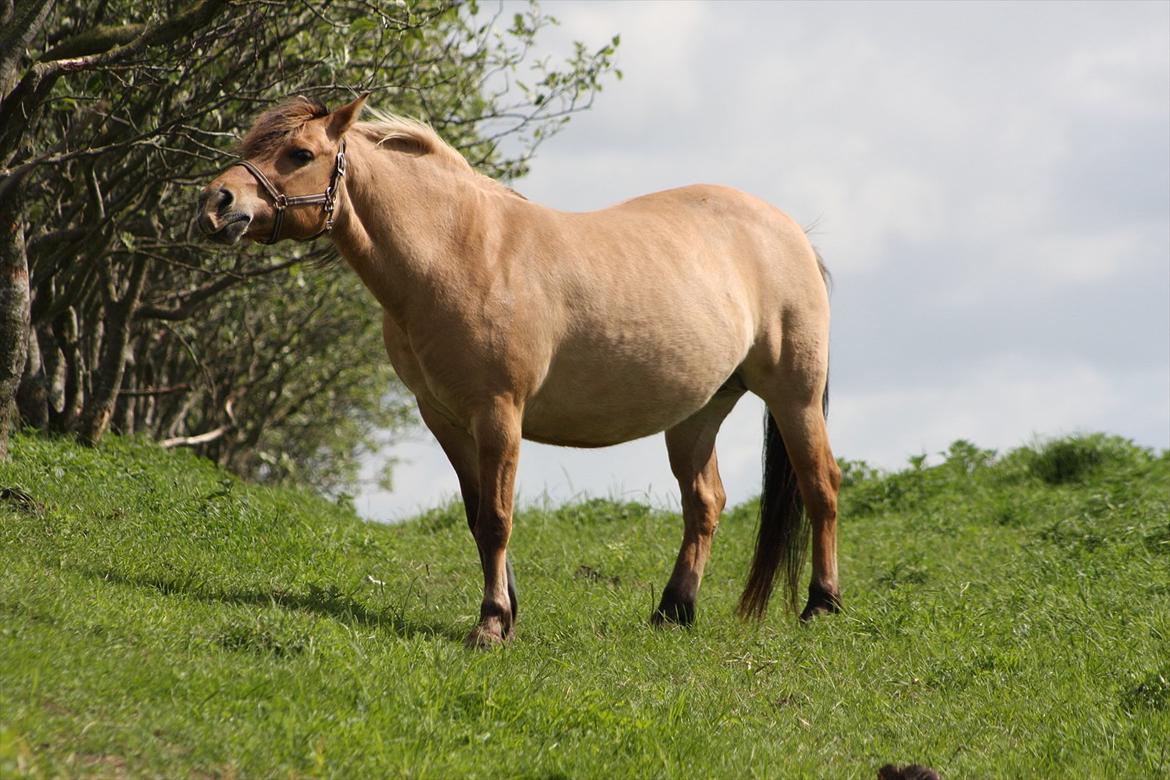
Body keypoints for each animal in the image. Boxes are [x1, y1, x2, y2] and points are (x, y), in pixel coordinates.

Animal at [201, 94, 842, 650]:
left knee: (822, 487)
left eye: (299, 153)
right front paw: (506, 613)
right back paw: (673, 610)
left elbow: (496, 520)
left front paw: (489, 625)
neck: (457, 251)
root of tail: (791, 233)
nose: (217, 202)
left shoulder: (499, 414)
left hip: (794, 397)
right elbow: (476, 515)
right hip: (698, 413)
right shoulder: (445, 419)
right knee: (705, 503)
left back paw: (821, 604)